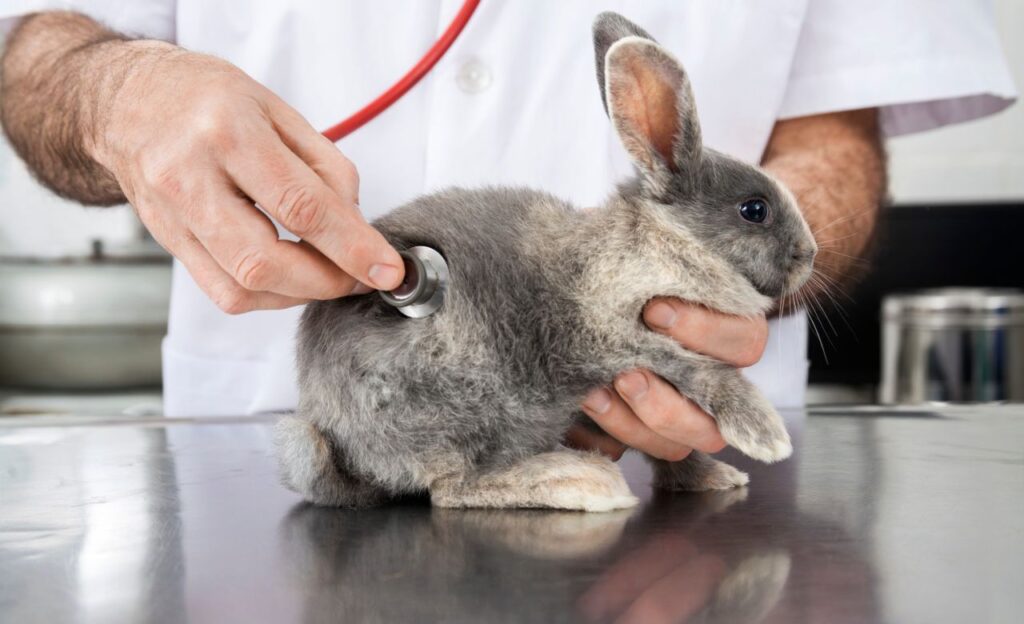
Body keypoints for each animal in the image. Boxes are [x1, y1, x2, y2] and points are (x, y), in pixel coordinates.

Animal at [274, 11, 817, 512]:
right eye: (755, 210)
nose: (809, 255)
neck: (662, 243)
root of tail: (343, 445)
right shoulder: (615, 342)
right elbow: (701, 372)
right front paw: (766, 434)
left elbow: (668, 449)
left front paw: (712, 476)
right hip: (461, 397)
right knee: (451, 488)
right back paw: (581, 481)